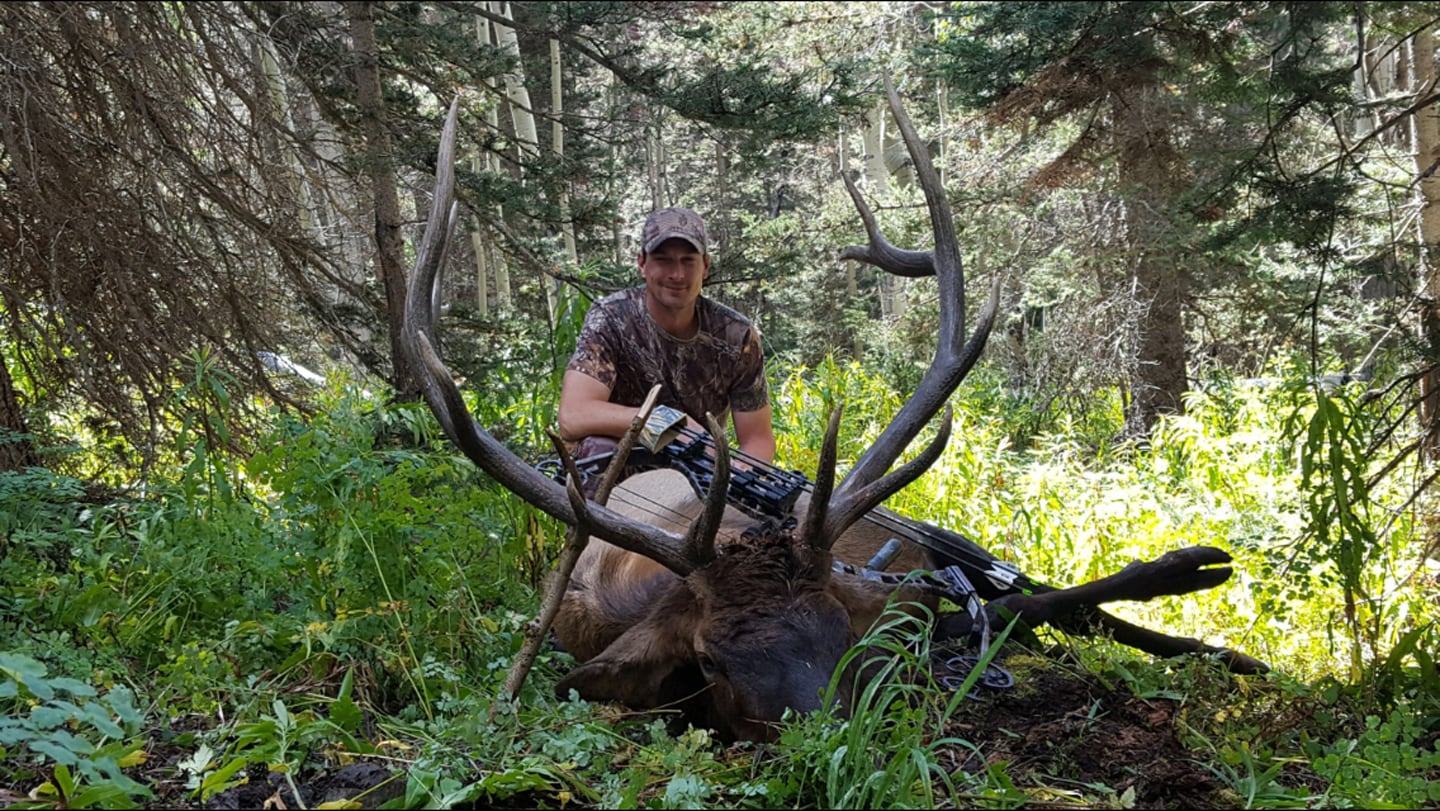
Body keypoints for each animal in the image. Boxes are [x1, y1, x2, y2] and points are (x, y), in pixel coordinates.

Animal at [403, 85, 1261, 743]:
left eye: (837, 635)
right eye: (708, 662)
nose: (823, 740)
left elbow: (1023, 604)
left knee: (1034, 590)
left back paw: (1204, 579)